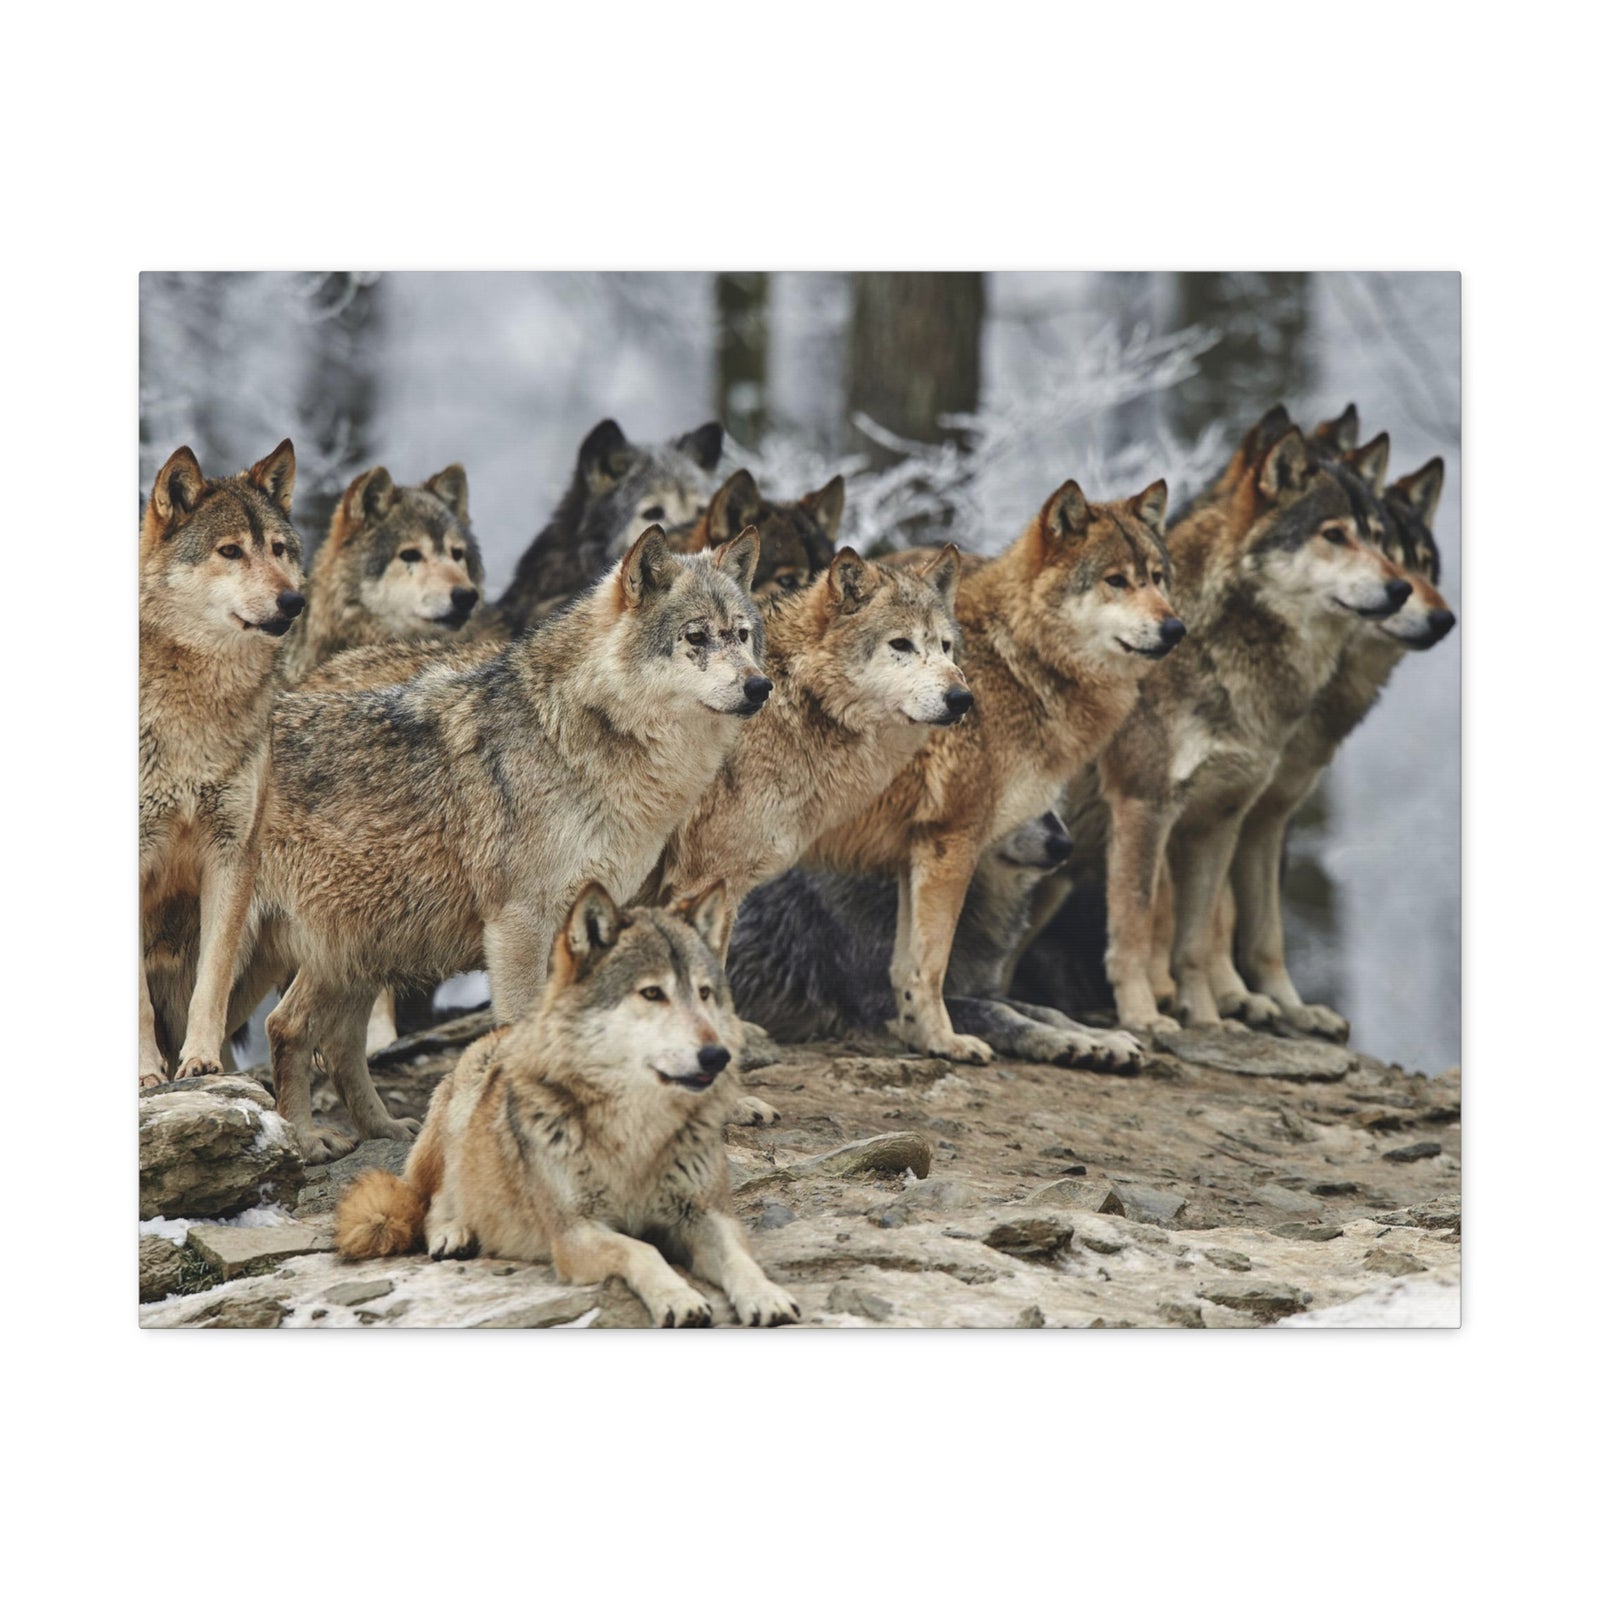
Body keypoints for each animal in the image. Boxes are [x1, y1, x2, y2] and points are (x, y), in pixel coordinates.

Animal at [139, 440, 304, 1086]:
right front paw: (146, 1074)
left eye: (279, 549)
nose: (294, 599)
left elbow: (210, 981)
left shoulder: (232, 852)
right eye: (230, 551)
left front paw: (201, 1062)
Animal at [245, 527, 768, 1161]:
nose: (760, 686)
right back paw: (302, 1139)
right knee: (285, 1027)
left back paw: (382, 1130)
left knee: (318, 1034)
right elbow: (521, 1026)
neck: (578, 736)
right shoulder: (519, 924)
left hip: (362, 944)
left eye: (742, 635)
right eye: (695, 637)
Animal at [334, 882, 801, 1328]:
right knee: (430, 1201)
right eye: (652, 993)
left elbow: (739, 1259)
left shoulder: (705, 1215)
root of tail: (499, 1032)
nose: (717, 1056)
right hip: (460, 1113)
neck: (636, 1134)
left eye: (704, 993)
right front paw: (679, 1299)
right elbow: (642, 1250)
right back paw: (454, 1232)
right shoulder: (574, 1233)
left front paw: (766, 1296)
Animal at [801, 478, 1183, 1063]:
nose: (1175, 628)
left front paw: (921, 1038)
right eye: (1116, 581)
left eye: (1157, 578)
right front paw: (946, 1041)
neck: (1018, 661)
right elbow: (933, 964)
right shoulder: (952, 840)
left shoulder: (918, 848)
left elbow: (910, 968)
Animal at [1086, 406, 1414, 1034]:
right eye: (1334, 534)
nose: (1402, 588)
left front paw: (1214, 1019)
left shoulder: (1233, 816)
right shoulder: (1145, 806)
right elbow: (1138, 926)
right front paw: (1144, 1015)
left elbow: (1212, 936)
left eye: (1379, 538)